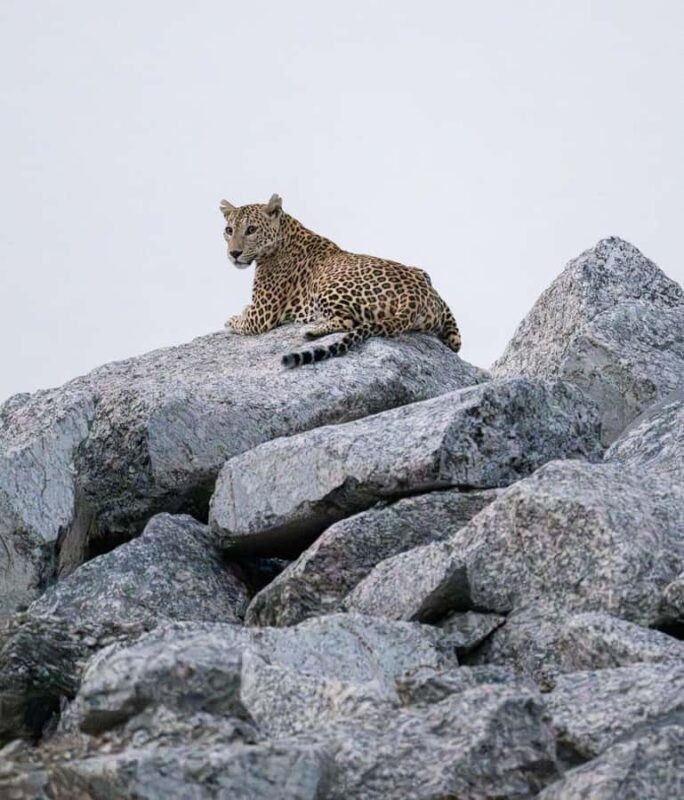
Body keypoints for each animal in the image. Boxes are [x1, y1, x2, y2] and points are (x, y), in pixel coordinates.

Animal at [220, 193, 462, 367]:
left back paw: (311, 330)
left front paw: (232, 319)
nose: (234, 253)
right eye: (228, 230)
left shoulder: (262, 316)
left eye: (251, 229)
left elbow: (241, 322)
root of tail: (417, 293)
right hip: (429, 286)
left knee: (347, 322)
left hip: (328, 285)